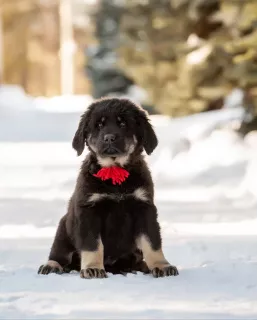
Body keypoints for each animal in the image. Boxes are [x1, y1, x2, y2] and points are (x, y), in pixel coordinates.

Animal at [38, 99, 178, 278]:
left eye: (123, 123)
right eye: (99, 125)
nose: (109, 138)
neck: (114, 172)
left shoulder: (144, 207)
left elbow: (152, 241)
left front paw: (161, 265)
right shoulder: (89, 210)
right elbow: (93, 244)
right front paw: (93, 268)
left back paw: (140, 267)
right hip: (63, 229)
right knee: (59, 253)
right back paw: (51, 265)